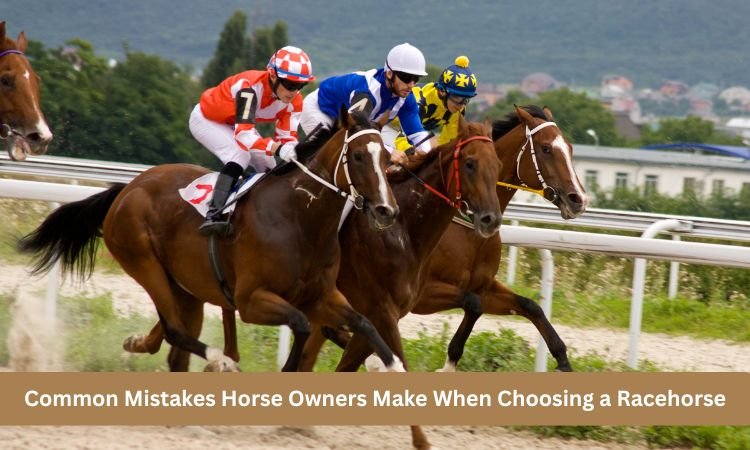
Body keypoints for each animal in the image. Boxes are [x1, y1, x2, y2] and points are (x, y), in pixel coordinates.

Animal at [18, 107, 404, 373]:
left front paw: (393, 364)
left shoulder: (322, 295)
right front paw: (286, 369)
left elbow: (363, 322)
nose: (387, 210)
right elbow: (301, 324)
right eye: (358, 156)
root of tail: (127, 189)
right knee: (175, 331)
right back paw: (222, 360)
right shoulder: (251, 300)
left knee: (172, 344)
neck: (300, 220)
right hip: (144, 263)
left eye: (387, 157)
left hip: (186, 287)